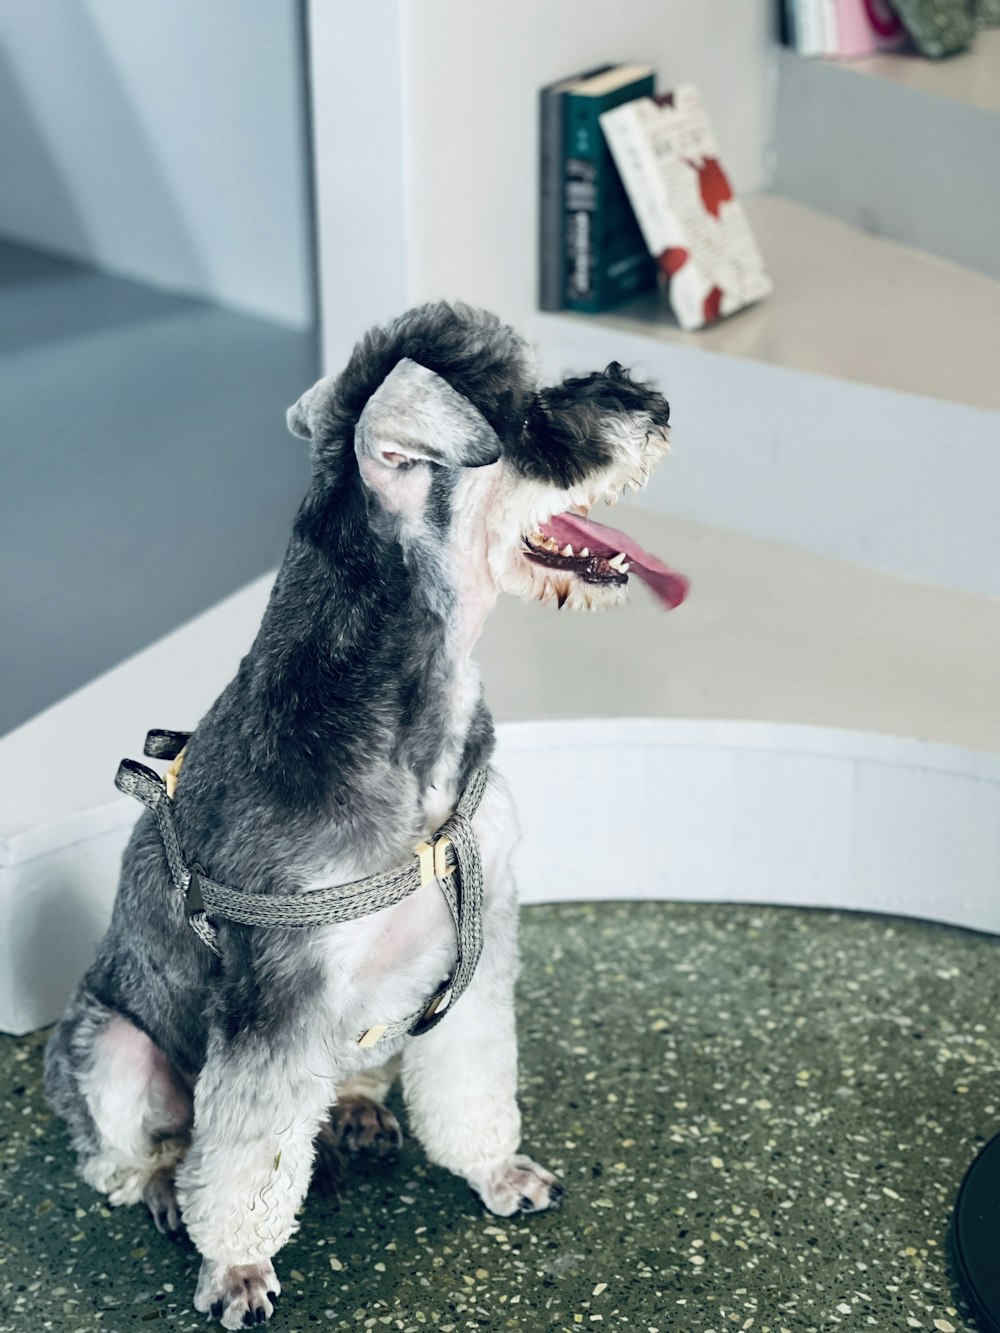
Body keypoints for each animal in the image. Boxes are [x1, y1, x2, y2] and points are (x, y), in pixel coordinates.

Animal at [47, 297, 688, 1327]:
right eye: (528, 413)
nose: (657, 403)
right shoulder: (275, 1006)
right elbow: (244, 1164)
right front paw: (235, 1267)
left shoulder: (477, 950)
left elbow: (473, 1081)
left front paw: (496, 1168)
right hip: (107, 1046)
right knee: (130, 1148)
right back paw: (161, 1183)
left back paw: (351, 1107)